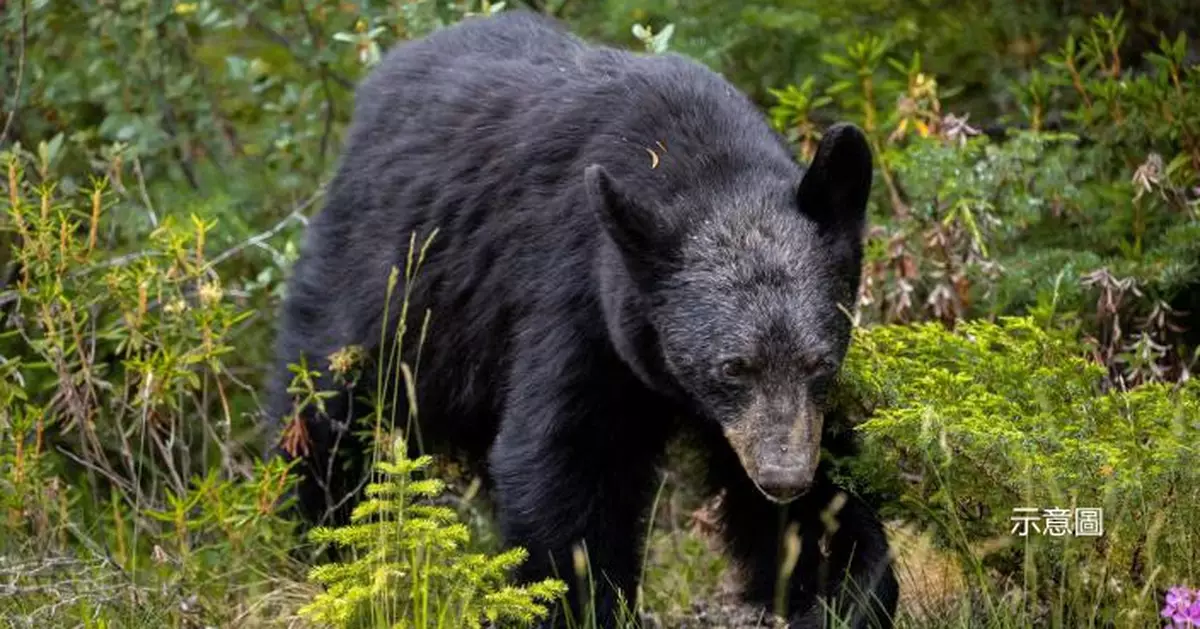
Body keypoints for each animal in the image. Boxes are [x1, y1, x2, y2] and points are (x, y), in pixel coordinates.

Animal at [270, 9, 892, 629]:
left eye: (820, 362)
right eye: (732, 366)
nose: (783, 478)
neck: (698, 162)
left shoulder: (787, 412)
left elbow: (823, 497)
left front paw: (844, 587)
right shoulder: (576, 301)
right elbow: (564, 462)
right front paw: (580, 601)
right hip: (385, 286)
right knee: (325, 413)